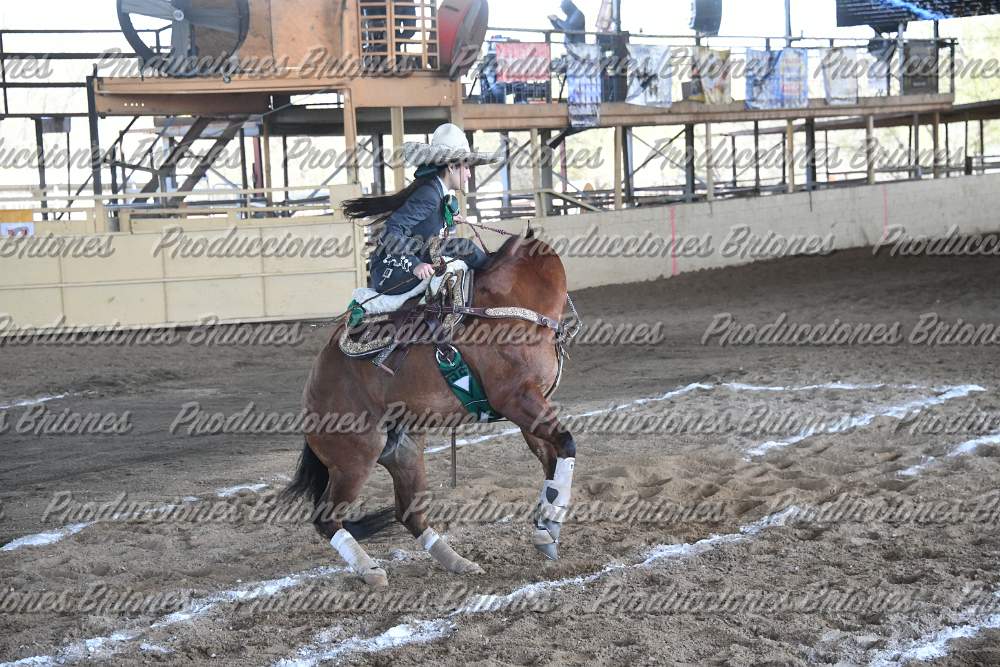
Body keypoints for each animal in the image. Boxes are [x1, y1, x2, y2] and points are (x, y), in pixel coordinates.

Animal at [282, 232, 578, 586]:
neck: (511, 301)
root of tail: (314, 384)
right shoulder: (518, 400)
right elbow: (566, 444)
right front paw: (549, 527)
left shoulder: (530, 408)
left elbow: (552, 459)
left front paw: (546, 527)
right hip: (354, 461)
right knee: (327, 518)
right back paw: (371, 571)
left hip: (405, 451)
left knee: (409, 513)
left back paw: (459, 562)